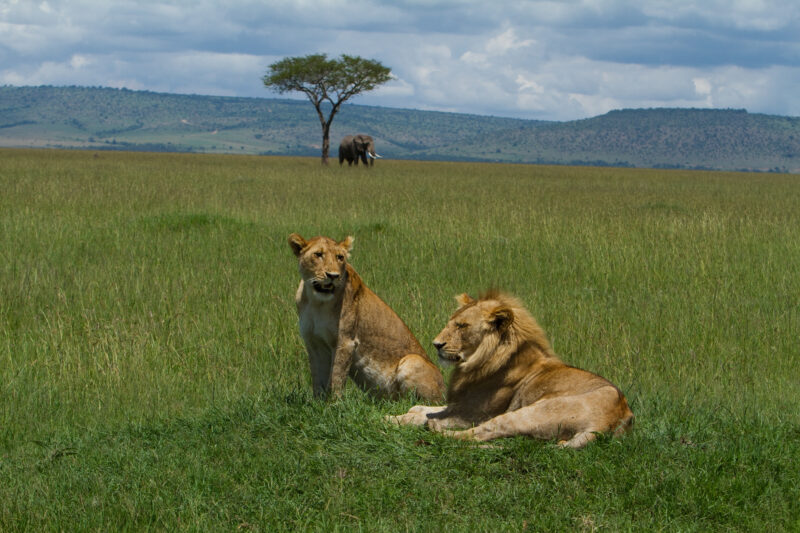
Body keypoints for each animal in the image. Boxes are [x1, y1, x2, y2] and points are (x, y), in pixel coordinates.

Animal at [288, 233, 445, 401]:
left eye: (340, 257)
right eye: (318, 254)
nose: (333, 276)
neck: (317, 302)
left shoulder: (346, 342)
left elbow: (336, 377)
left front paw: (334, 404)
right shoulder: (314, 342)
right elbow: (318, 378)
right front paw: (318, 403)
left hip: (412, 360)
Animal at [387, 291, 633, 449]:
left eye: (462, 326)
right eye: (452, 322)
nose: (436, 344)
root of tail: (618, 417)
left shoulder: (471, 414)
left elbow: (428, 416)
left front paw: (393, 419)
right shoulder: (461, 404)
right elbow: (422, 408)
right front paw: (402, 415)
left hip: (531, 412)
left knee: (476, 434)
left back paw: (437, 428)